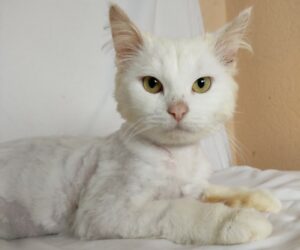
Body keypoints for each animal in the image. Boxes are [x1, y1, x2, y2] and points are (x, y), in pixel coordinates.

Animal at [0, 4, 282, 245]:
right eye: (151, 84)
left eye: (202, 84)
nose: (178, 110)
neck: (179, 158)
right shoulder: (105, 211)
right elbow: (180, 208)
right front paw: (237, 219)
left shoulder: (195, 185)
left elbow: (217, 189)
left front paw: (261, 198)